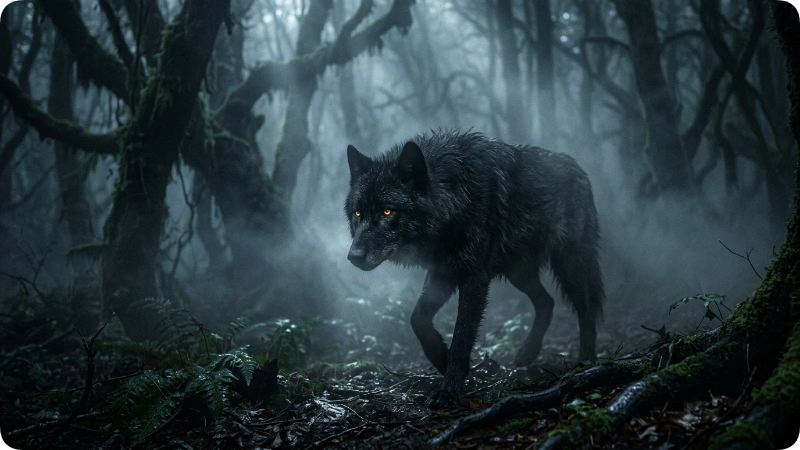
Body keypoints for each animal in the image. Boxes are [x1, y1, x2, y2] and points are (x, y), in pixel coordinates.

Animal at [344, 131, 604, 407]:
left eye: (387, 211)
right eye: (358, 213)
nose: (353, 257)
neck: (455, 196)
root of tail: (579, 169)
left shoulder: (474, 279)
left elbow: (462, 335)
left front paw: (449, 390)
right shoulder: (442, 272)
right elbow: (418, 319)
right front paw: (442, 359)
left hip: (570, 264)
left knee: (586, 309)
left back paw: (586, 362)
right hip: (519, 273)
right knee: (547, 302)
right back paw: (527, 353)